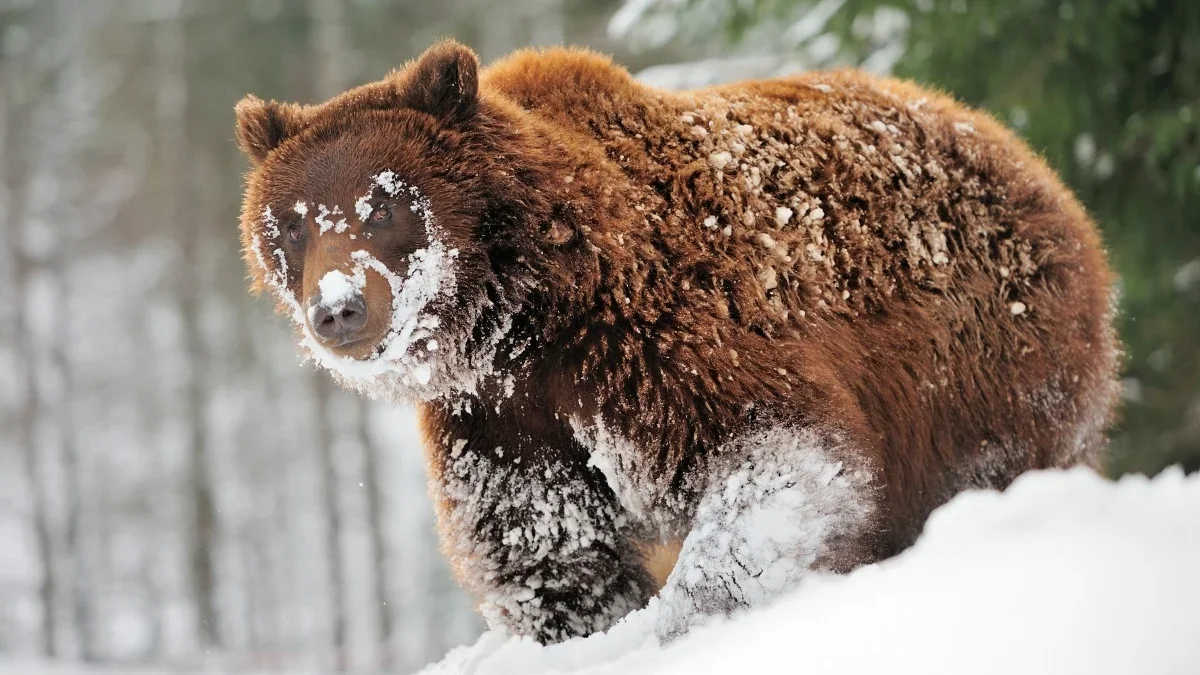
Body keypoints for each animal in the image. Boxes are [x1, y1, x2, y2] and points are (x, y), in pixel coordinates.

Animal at [236, 40, 1123, 638]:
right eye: (291, 222)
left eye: (383, 202)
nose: (338, 308)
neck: (520, 317)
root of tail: (1024, 155)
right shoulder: (498, 420)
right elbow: (545, 549)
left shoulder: (655, 337)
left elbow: (779, 453)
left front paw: (685, 616)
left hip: (986, 364)